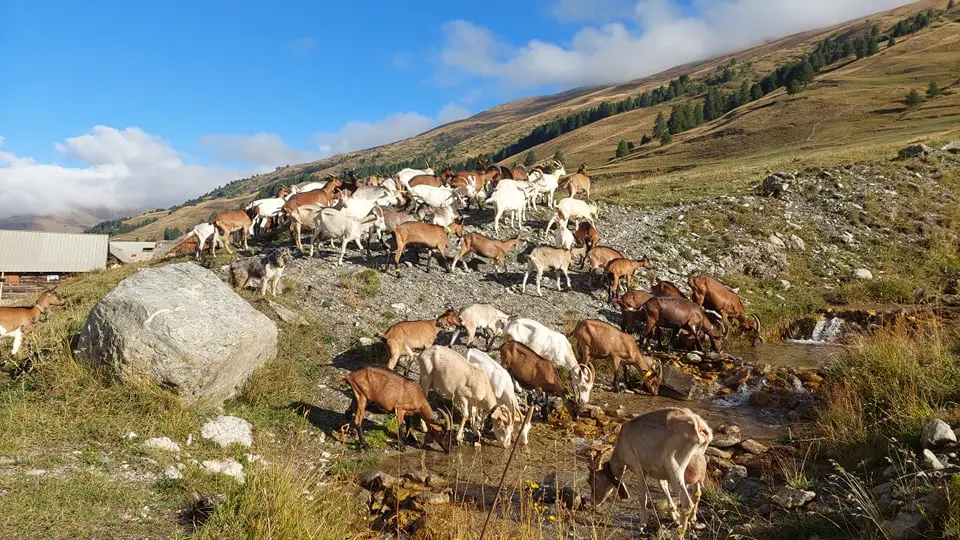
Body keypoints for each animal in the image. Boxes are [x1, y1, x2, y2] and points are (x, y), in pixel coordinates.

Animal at [584, 408, 712, 528]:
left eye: (592, 481)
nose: (593, 502)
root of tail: (699, 426)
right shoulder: (658, 470)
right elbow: (664, 487)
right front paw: (674, 516)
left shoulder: (639, 468)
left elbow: (642, 497)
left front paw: (643, 523)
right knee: (697, 493)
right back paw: (693, 519)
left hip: (675, 468)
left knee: (686, 503)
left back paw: (680, 530)